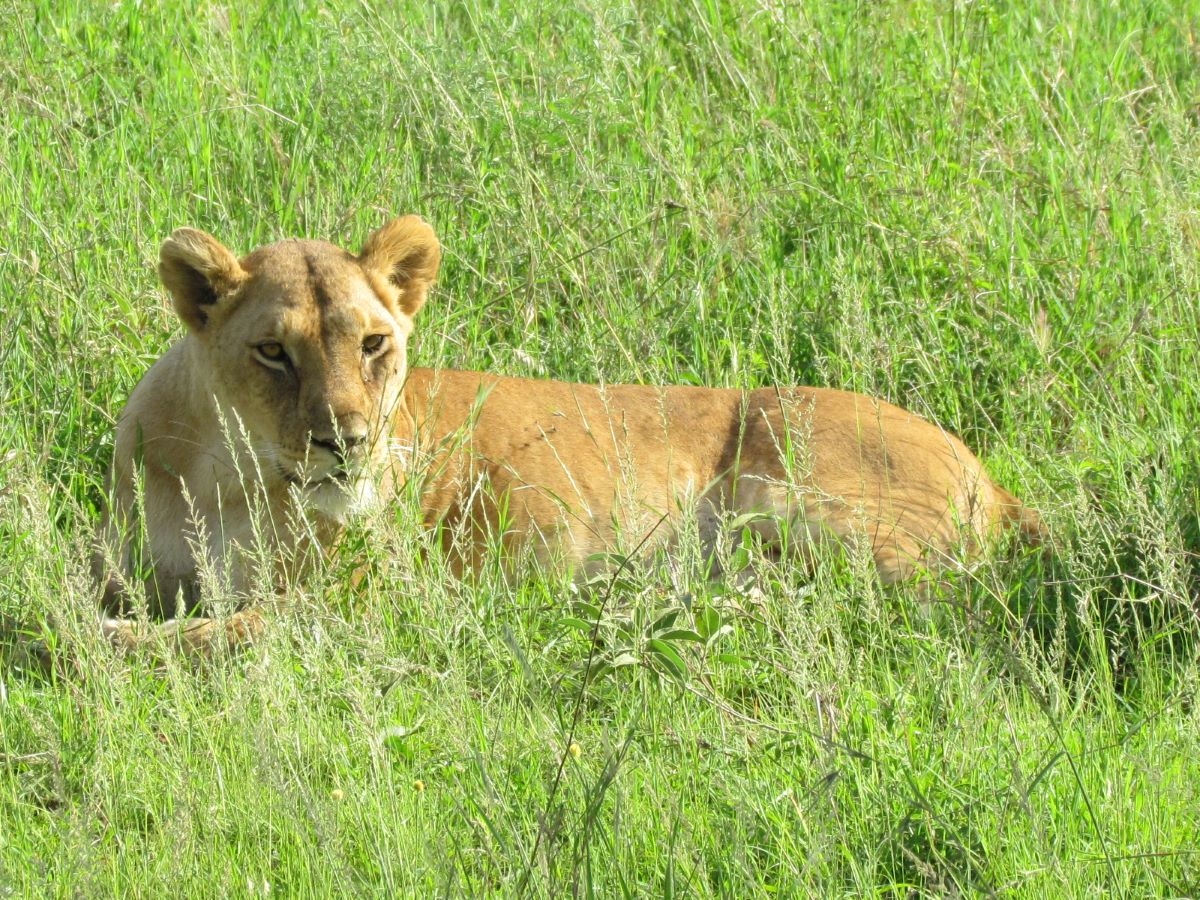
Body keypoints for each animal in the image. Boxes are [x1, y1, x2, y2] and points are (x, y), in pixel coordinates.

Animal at [90, 216, 1042, 658]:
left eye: (372, 344)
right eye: (273, 353)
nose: (349, 442)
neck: (232, 474)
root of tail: (988, 477)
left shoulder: (380, 600)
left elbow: (231, 630)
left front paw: (105, 649)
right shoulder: (135, 558)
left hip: (793, 492)